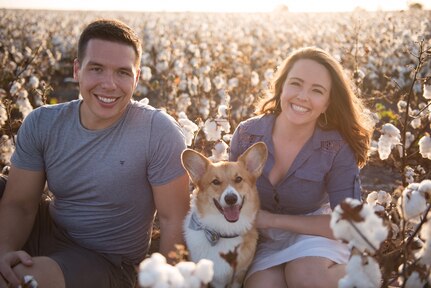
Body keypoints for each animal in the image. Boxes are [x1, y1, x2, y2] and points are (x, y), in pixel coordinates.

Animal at [181, 142, 266, 288]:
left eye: (238, 179)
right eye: (215, 182)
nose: (231, 198)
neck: (224, 231)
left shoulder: (238, 276)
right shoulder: (215, 279)